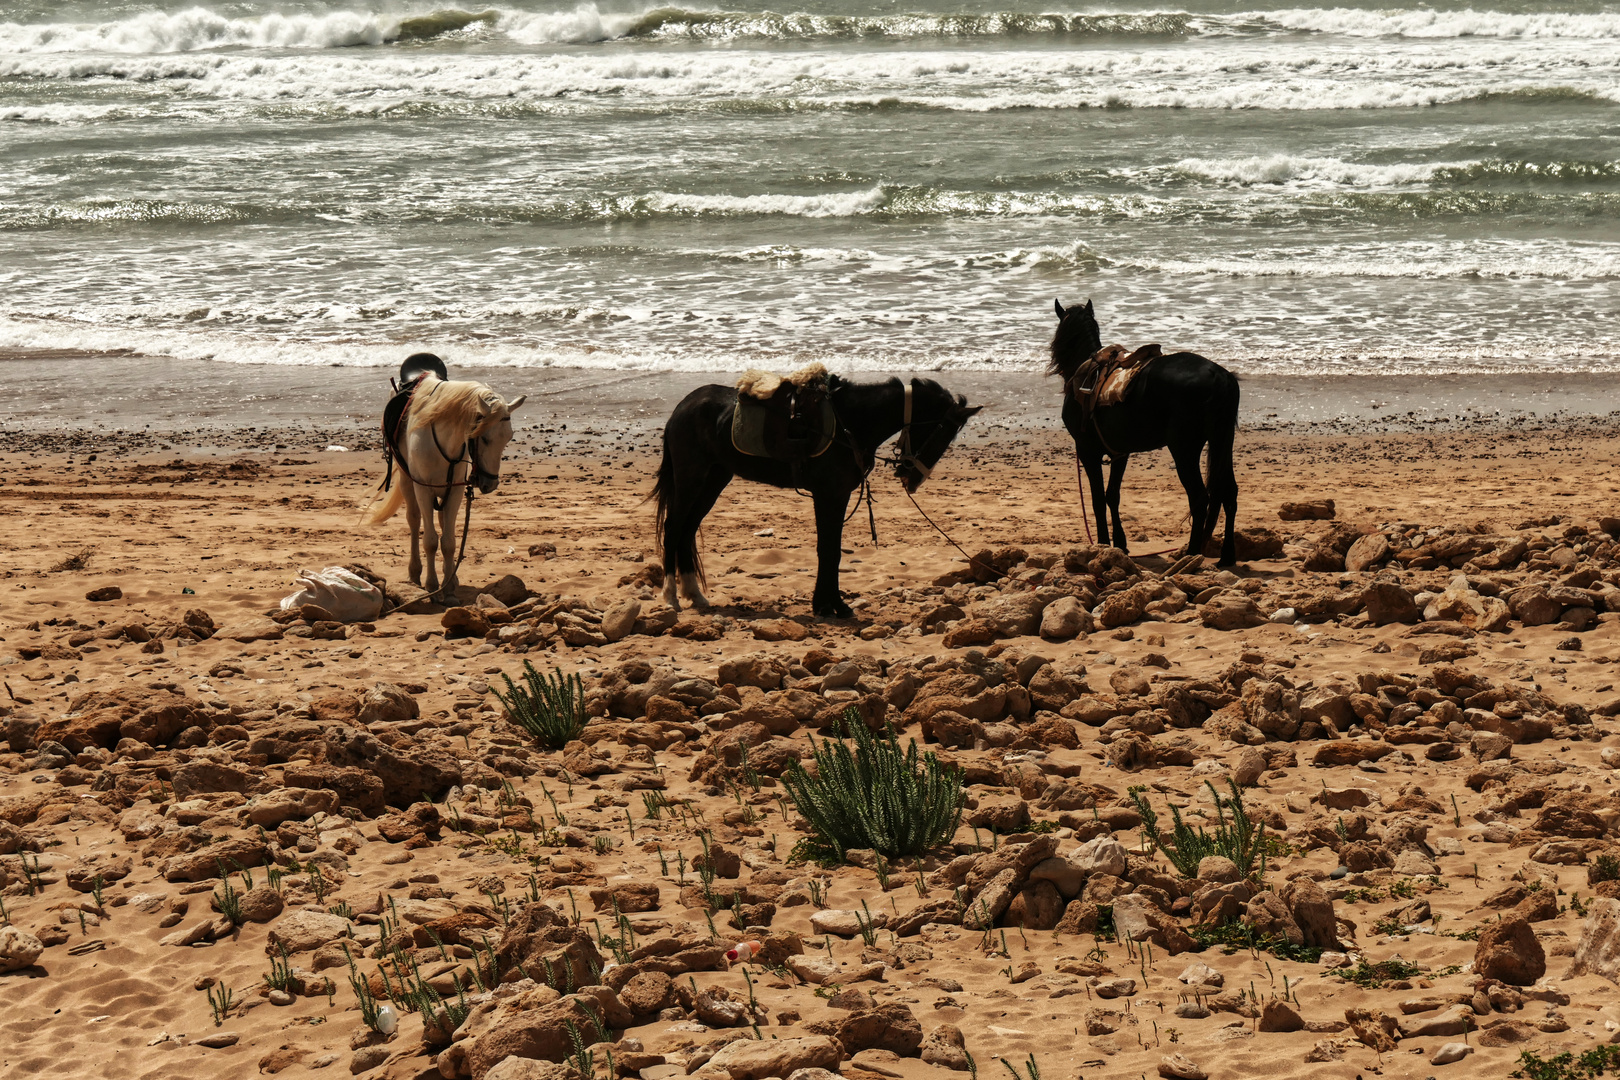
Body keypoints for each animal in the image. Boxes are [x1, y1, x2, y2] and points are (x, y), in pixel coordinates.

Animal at [366, 375, 524, 599]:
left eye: (509, 437)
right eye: (484, 438)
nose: (490, 484)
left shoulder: (455, 490)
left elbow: (449, 542)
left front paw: (448, 587)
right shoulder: (424, 490)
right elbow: (430, 541)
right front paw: (432, 585)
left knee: (441, 523)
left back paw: (452, 577)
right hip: (407, 482)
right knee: (414, 522)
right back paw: (415, 572)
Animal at [651, 378, 978, 615]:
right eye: (942, 432)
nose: (913, 480)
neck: (851, 423)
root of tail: (683, 407)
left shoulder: (837, 496)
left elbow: (832, 549)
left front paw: (829, 603)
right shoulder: (828, 496)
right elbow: (828, 550)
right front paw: (829, 605)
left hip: (714, 480)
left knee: (687, 530)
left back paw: (694, 594)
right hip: (692, 478)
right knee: (674, 528)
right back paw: (670, 596)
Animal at [1049, 296, 1237, 566]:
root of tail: (1219, 375)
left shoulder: (1087, 451)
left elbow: (1097, 499)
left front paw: (1103, 543)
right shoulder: (1120, 453)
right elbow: (1112, 495)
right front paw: (1120, 544)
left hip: (1184, 450)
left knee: (1200, 498)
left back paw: (1191, 554)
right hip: (1223, 441)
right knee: (1229, 493)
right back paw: (1227, 556)